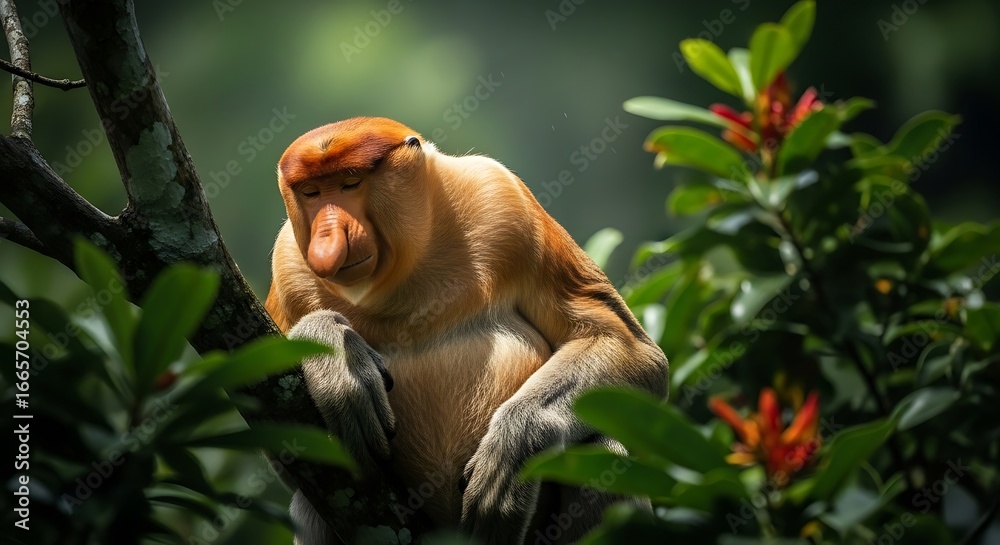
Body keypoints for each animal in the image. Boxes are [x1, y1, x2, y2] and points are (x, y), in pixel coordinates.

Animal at [265, 117, 669, 544]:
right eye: (311, 193)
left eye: (350, 184)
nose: (326, 243)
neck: (404, 276)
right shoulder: (289, 263)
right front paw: (337, 354)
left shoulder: (505, 201)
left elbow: (628, 345)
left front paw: (512, 451)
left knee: (595, 444)